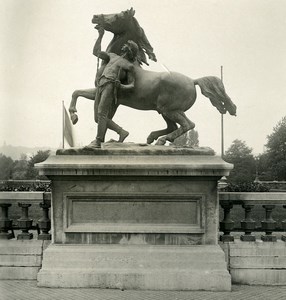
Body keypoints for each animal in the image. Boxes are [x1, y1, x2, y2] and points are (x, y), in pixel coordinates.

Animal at [68, 7, 236, 146]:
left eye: (118, 15)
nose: (95, 17)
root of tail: (193, 81)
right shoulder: (102, 93)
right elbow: (78, 94)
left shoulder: (112, 98)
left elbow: (99, 115)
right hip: (164, 110)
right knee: (174, 126)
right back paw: (152, 138)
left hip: (170, 109)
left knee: (188, 125)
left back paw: (161, 140)